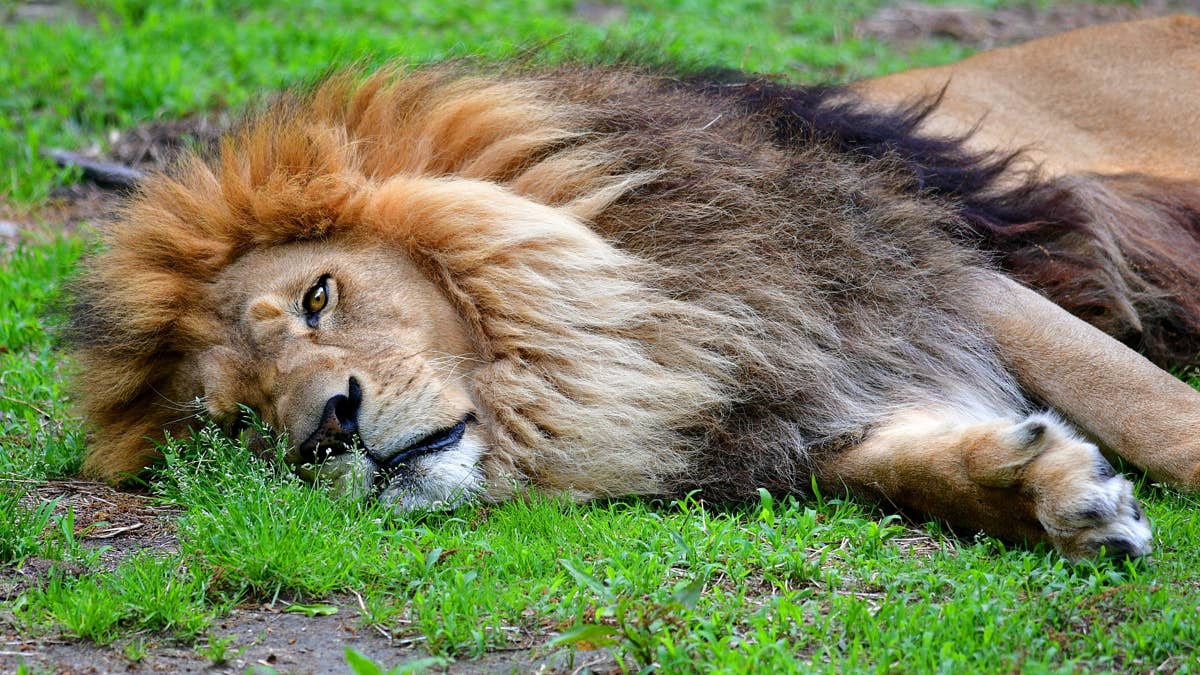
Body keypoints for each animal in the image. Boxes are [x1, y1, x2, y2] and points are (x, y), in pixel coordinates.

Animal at [71, 17, 1200, 561]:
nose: (328, 430)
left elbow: (1157, 412)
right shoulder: (777, 397)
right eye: (241, 424)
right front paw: (1049, 495)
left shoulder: (932, 268)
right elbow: (905, 468)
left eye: (318, 298)